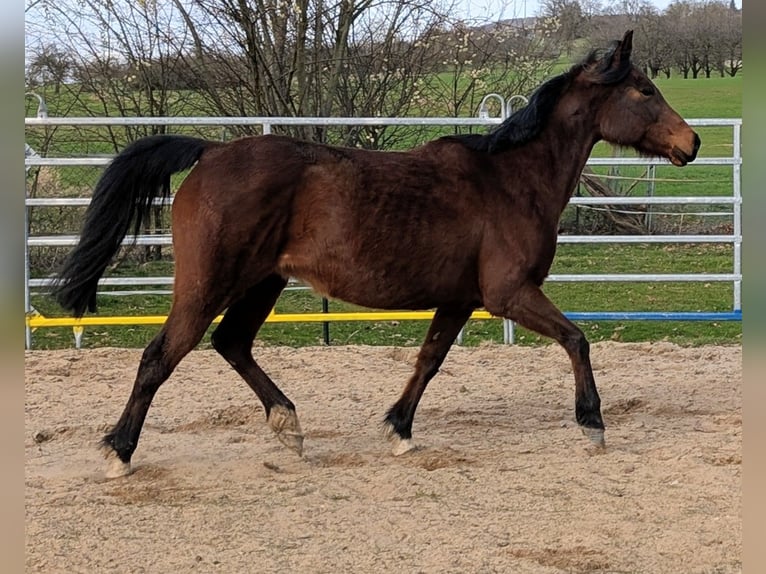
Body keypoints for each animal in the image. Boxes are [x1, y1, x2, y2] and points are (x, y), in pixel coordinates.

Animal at [52, 30, 700, 478]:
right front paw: (592, 423)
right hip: (208, 284)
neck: (512, 179)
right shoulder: (508, 294)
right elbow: (576, 339)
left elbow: (429, 361)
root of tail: (210, 152)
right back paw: (119, 452)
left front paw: (399, 429)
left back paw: (288, 426)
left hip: (263, 282)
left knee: (231, 343)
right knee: (160, 356)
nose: (690, 143)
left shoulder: (460, 300)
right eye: (646, 90)